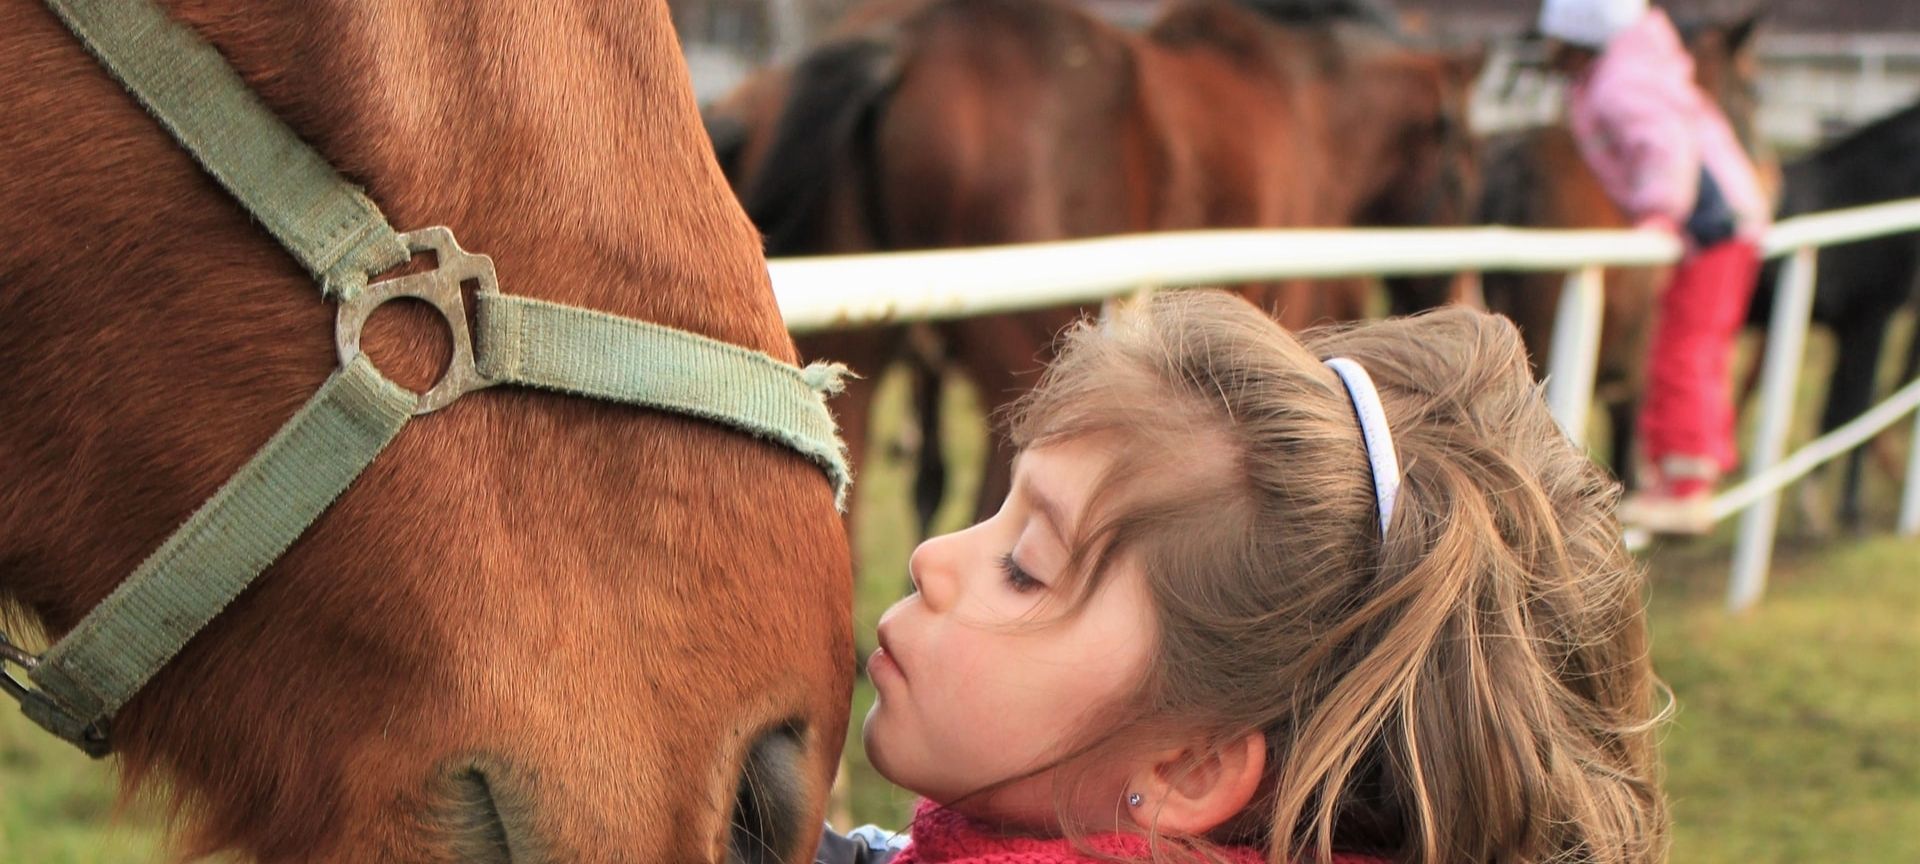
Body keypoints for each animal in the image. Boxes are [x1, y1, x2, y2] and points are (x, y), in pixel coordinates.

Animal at [721, 0, 1482, 537]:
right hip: (1017, 360)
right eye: (1463, 171)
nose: (1465, 300)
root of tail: (902, 42)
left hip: (864, 352)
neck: (1306, 101)